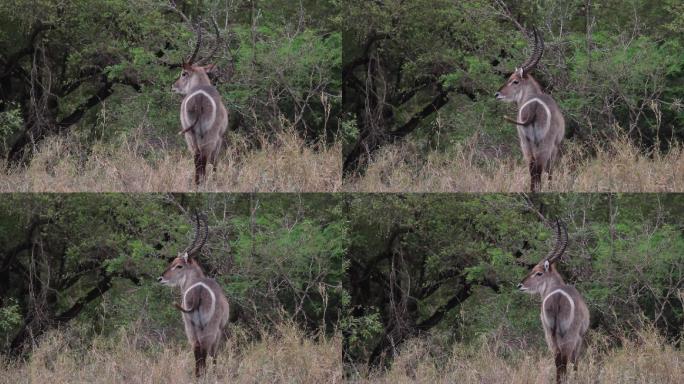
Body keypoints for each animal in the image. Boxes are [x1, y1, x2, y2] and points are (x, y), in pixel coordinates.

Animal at [156, 213, 231, 378]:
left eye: (178, 265)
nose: (160, 278)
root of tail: (199, 291)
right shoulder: (219, 330)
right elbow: (214, 355)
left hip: (190, 327)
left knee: (197, 351)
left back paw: (198, 376)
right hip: (209, 328)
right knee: (204, 351)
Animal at [174, 22, 230, 184]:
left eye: (183, 73)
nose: (174, 86)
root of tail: (199, 98)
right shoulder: (219, 138)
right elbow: (214, 162)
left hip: (190, 135)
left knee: (197, 160)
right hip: (208, 137)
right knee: (204, 160)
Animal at [494, 28, 564, 192]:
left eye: (514, 81)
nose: (497, 94)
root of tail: (535, 107)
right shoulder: (555, 147)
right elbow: (550, 172)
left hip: (525, 144)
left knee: (532, 170)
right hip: (544, 145)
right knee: (539, 170)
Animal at [520, 219, 588, 384]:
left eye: (538, 272)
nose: (520, 285)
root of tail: (557, 297)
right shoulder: (580, 338)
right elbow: (575, 363)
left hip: (550, 335)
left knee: (558, 362)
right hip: (568, 336)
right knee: (564, 361)